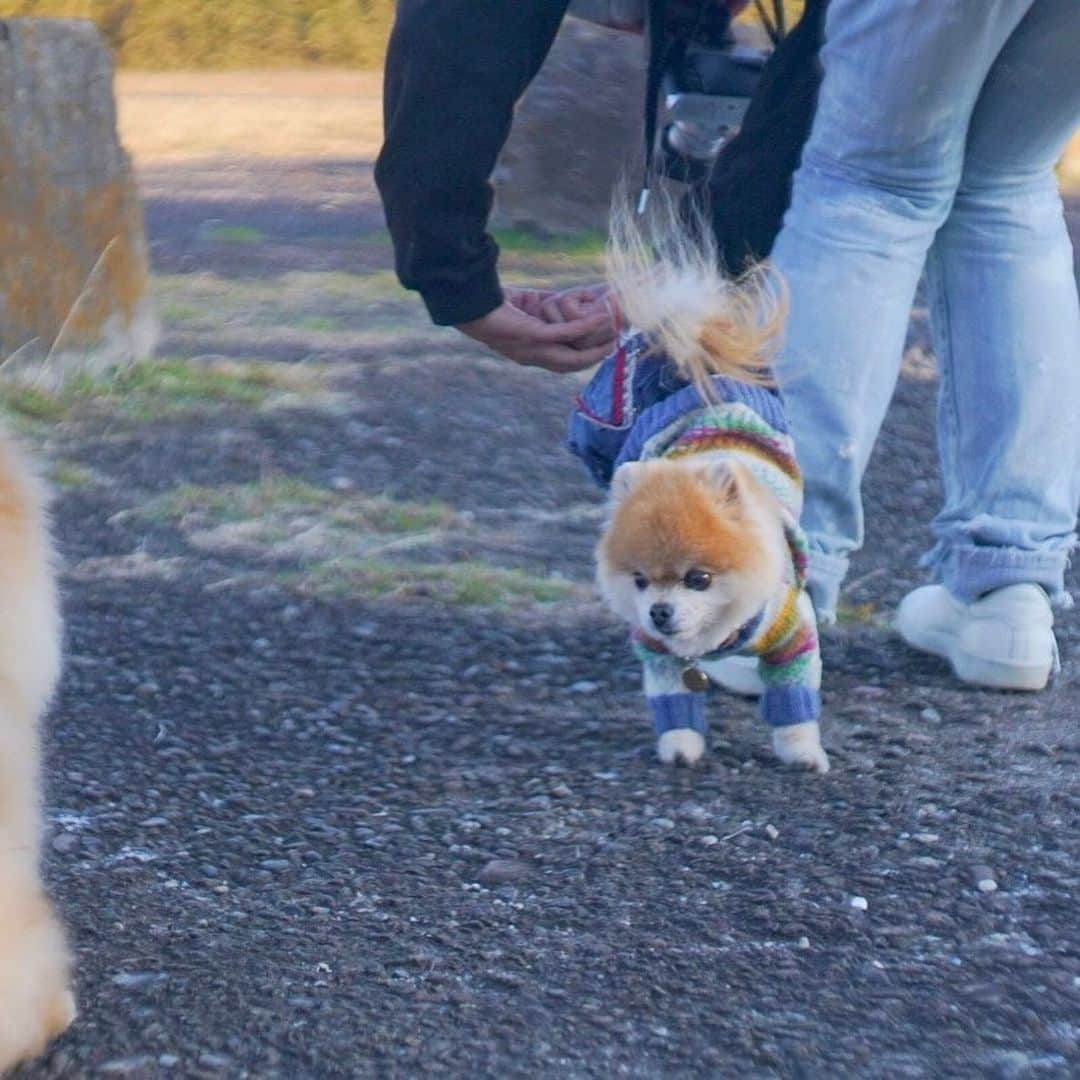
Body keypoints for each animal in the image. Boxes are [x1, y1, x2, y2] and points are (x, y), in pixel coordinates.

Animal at [570, 203, 829, 773]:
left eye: (699, 579)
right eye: (640, 580)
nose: (660, 612)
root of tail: (692, 359)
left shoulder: (790, 635)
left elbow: (795, 701)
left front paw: (803, 752)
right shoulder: (657, 654)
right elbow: (673, 701)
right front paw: (680, 747)